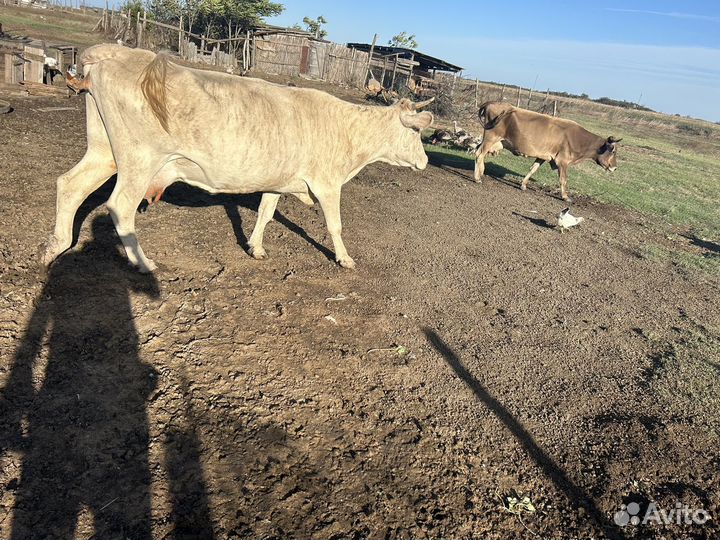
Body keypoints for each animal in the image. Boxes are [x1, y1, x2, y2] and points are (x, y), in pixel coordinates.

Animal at [42, 44, 434, 273]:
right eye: (416, 133)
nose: (426, 162)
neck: (347, 131)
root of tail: (115, 52)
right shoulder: (327, 182)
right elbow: (335, 225)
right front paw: (345, 259)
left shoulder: (278, 179)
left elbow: (265, 213)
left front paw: (255, 248)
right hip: (140, 158)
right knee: (119, 206)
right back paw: (143, 263)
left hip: (104, 149)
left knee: (70, 185)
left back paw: (56, 247)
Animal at [473, 101, 620, 201]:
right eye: (613, 151)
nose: (615, 167)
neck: (579, 140)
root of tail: (493, 103)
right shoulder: (562, 161)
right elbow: (563, 179)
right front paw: (565, 196)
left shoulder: (544, 156)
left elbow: (533, 169)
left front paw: (523, 185)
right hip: (491, 137)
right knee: (479, 153)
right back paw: (477, 178)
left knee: (480, 153)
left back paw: (481, 172)